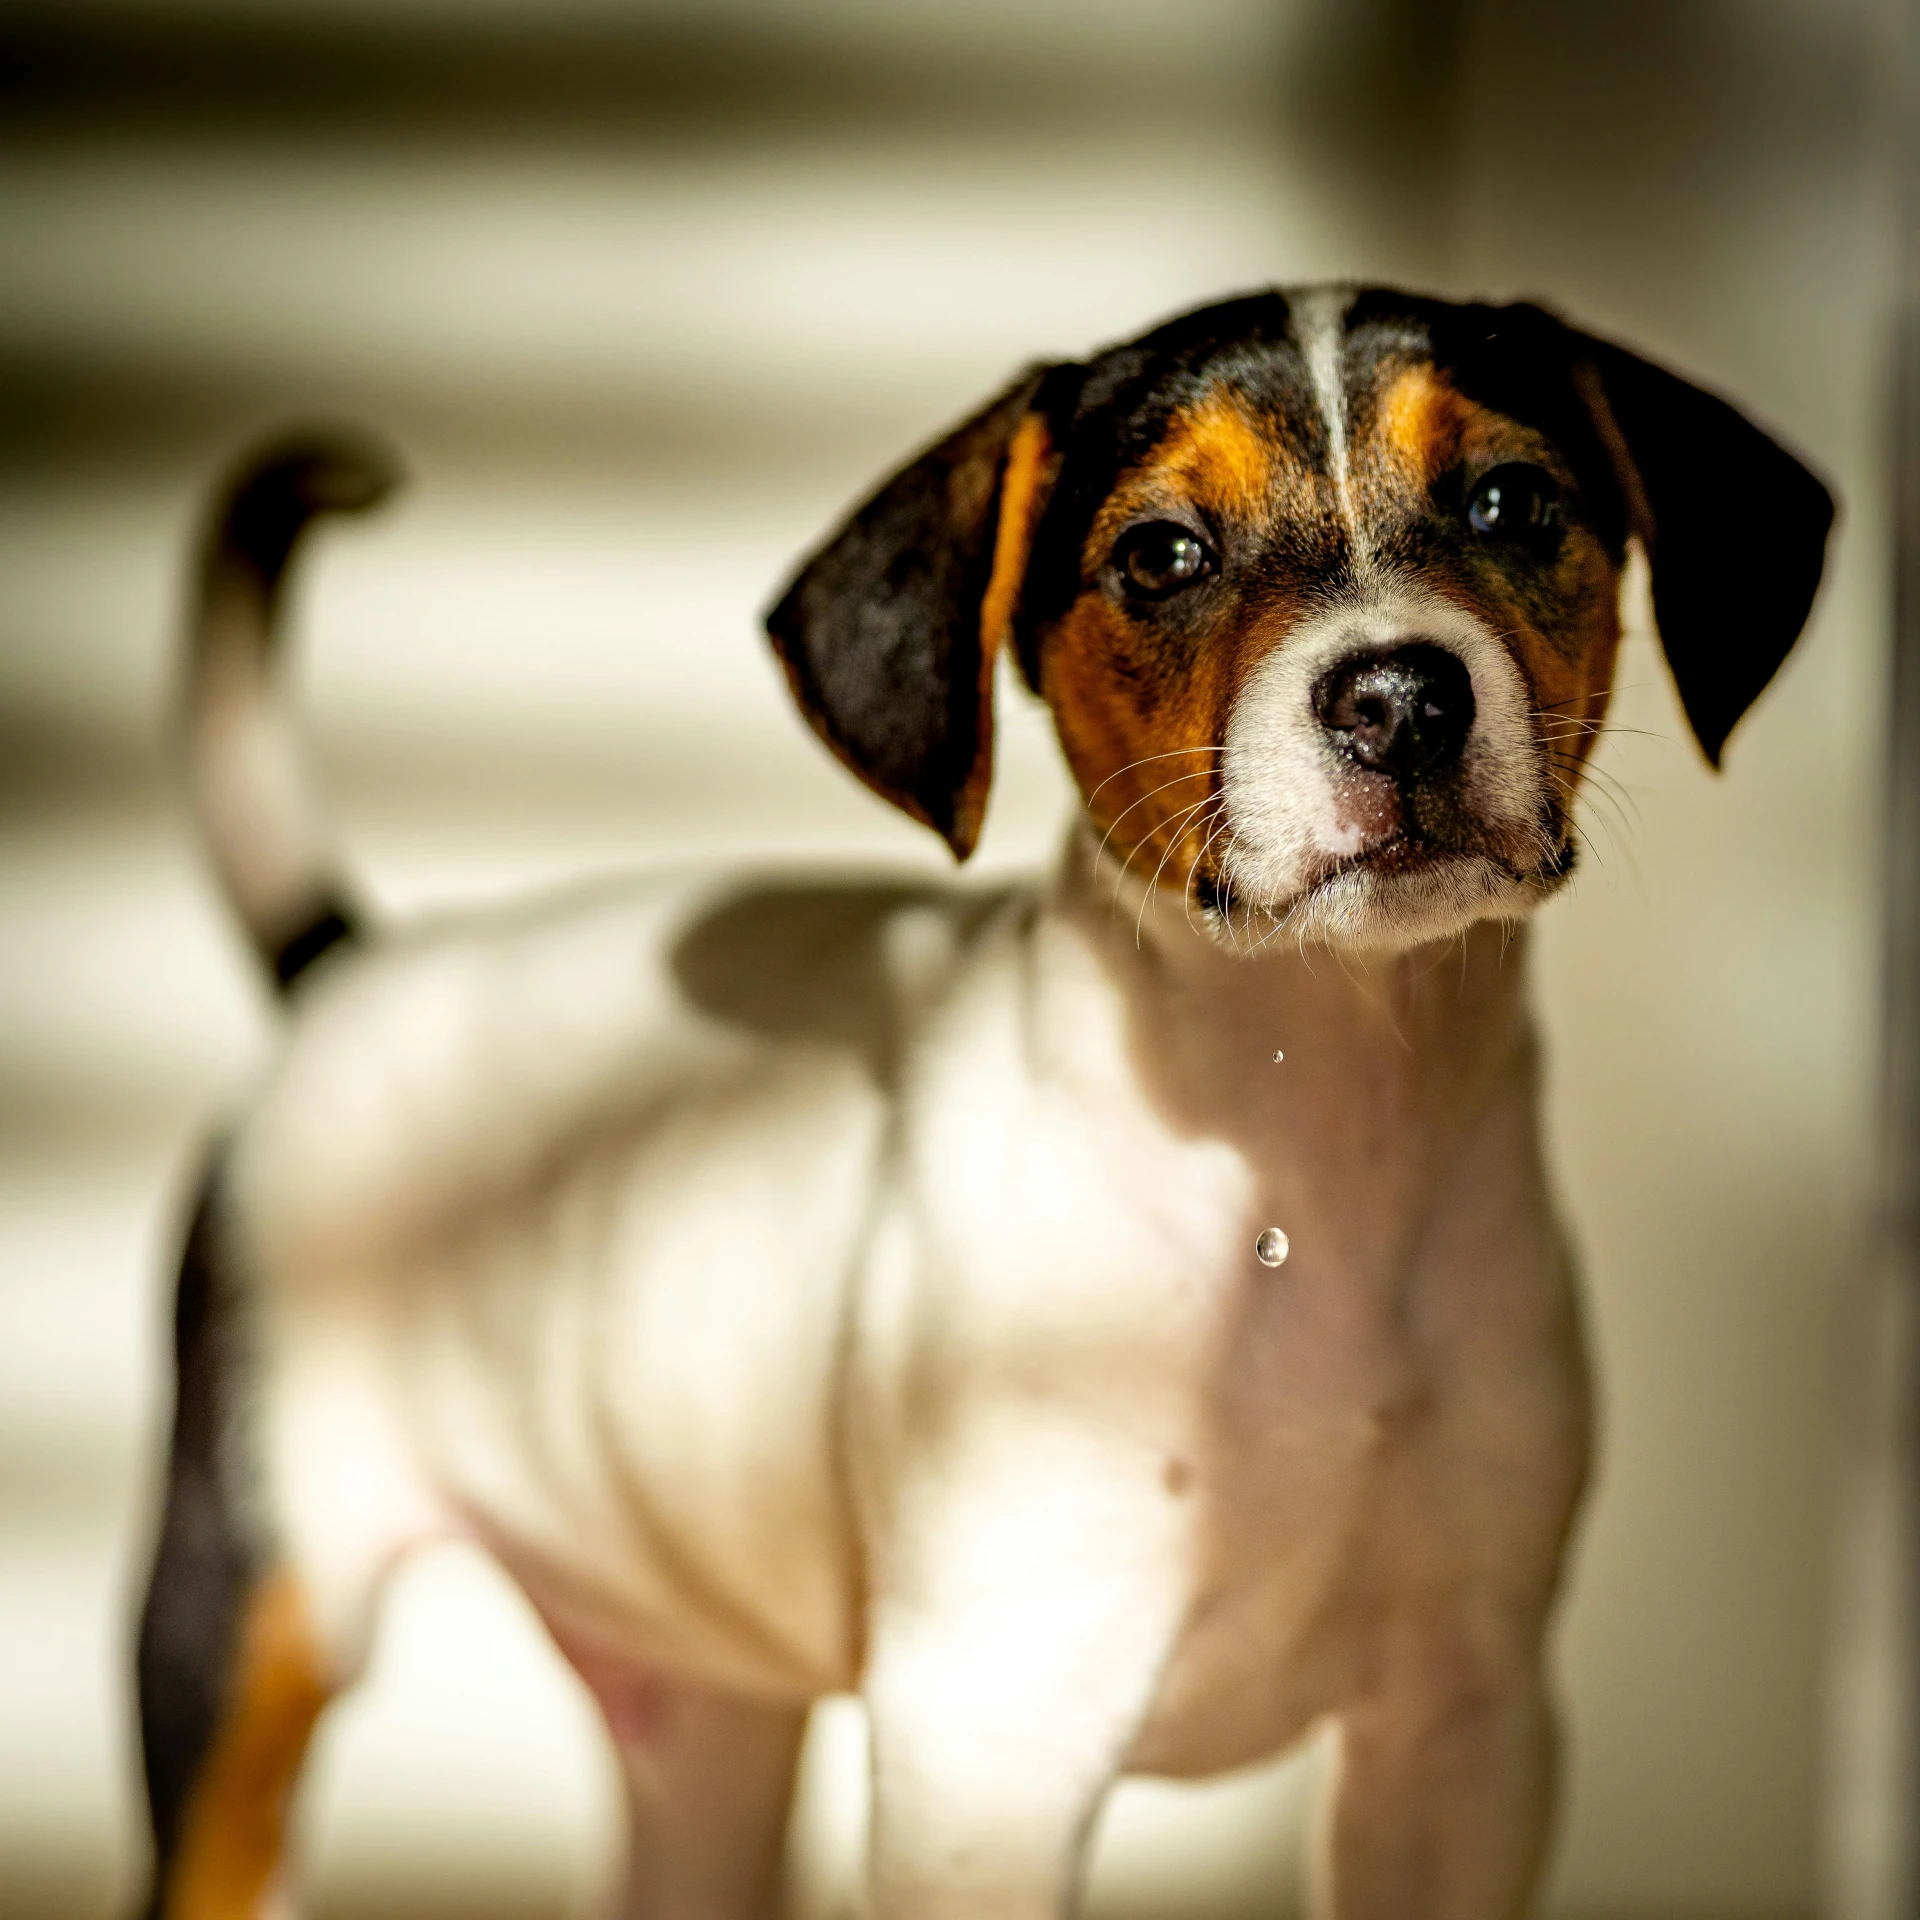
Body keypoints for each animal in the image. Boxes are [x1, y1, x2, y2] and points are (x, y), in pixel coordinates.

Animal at [131, 284, 1827, 1920]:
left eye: (1508, 502)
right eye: (1162, 553)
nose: (1402, 697)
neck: (1302, 1143)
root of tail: (349, 972)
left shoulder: (1463, 1734)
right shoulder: (988, 1736)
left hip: (706, 1728)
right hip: (246, 1609)